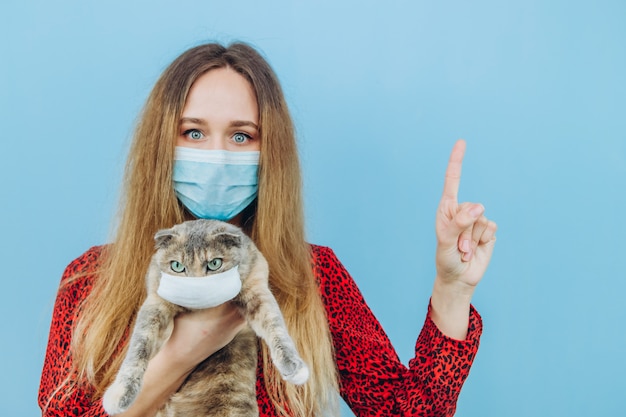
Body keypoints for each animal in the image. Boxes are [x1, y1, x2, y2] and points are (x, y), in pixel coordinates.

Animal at [101, 219, 308, 414]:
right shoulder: (155, 303)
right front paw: (120, 394)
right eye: (177, 266)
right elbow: (140, 346)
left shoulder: (256, 289)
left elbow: (275, 326)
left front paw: (294, 365)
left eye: (214, 263)